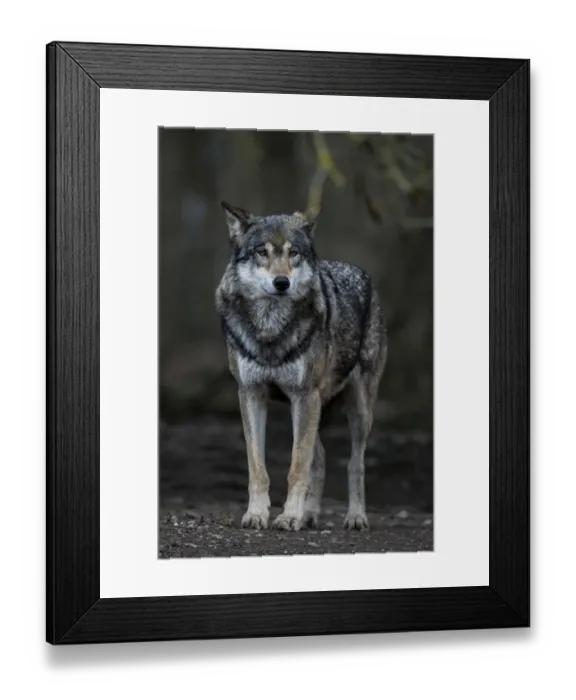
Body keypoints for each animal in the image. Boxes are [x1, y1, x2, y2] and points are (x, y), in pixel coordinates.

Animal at [215, 202, 388, 531]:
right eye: (262, 252)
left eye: (293, 252)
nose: (281, 282)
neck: (271, 329)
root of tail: (360, 272)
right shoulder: (251, 394)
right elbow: (258, 467)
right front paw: (257, 514)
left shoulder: (304, 396)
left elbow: (296, 468)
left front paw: (289, 517)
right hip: (310, 408)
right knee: (318, 459)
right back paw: (310, 515)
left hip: (357, 410)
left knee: (354, 464)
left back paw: (355, 517)